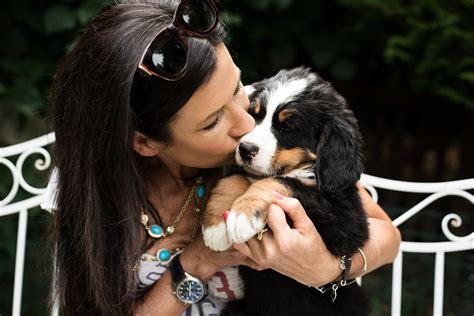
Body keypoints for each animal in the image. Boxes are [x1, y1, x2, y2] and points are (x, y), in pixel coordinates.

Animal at [201, 67, 370, 316]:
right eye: (254, 115)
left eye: (287, 126)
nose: (245, 149)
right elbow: (237, 177)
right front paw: (215, 226)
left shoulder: (347, 220)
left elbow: (280, 182)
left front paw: (243, 215)